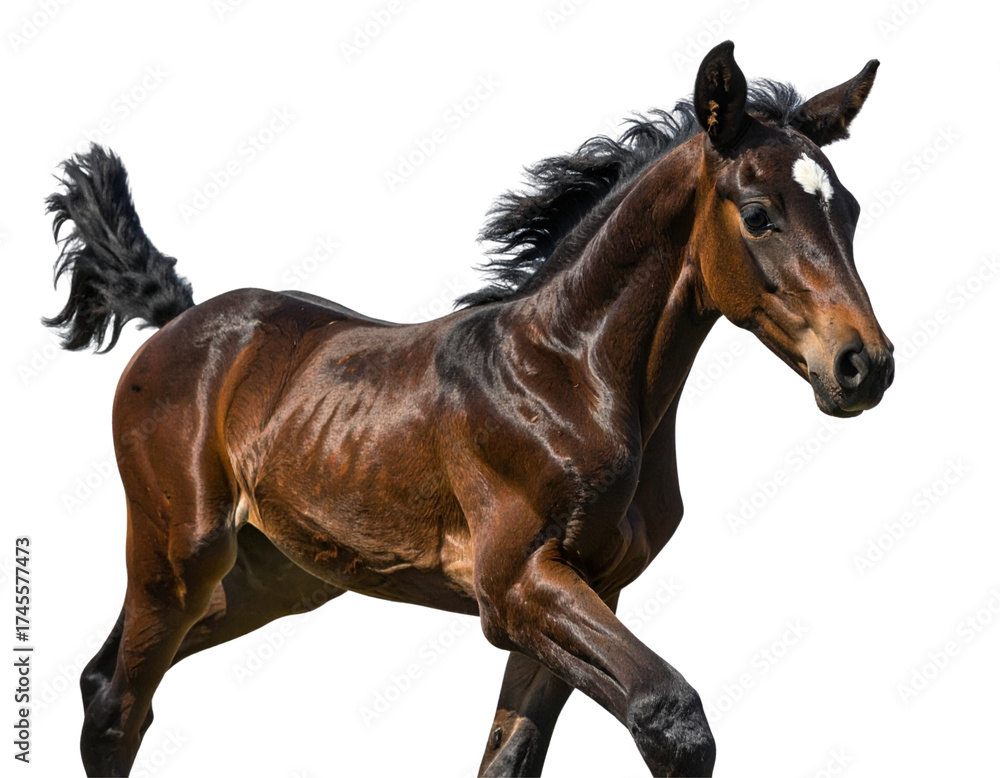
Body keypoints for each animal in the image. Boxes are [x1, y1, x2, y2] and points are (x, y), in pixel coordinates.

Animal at [45, 41, 893, 777]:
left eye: (849, 210)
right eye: (758, 213)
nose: (865, 365)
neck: (571, 377)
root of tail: (181, 318)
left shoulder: (588, 588)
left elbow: (510, 756)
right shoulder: (514, 584)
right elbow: (671, 716)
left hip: (269, 577)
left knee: (107, 680)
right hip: (178, 552)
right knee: (117, 703)